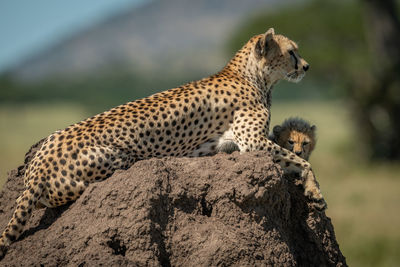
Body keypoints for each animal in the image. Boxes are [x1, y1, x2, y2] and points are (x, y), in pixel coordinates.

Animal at [0, 28, 324, 258]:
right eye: (292, 52)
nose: (308, 66)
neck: (250, 75)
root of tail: (35, 172)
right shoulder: (253, 142)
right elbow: (301, 162)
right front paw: (315, 191)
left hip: (52, 138)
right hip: (119, 159)